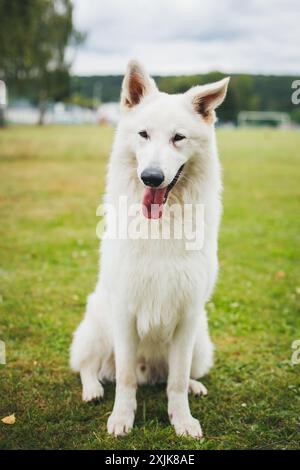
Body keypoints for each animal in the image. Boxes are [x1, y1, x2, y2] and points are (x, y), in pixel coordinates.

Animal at [70, 60, 230, 438]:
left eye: (178, 138)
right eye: (143, 134)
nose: (152, 178)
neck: (162, 224)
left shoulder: (188, 316)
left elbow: (176, 380)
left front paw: (182, 420)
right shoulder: (125, 312)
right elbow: (126, 377)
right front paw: (122, 418)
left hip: (201, 342)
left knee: (176, 375)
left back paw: (193, 386)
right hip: (99, 324)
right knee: (89, 366)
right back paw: (93, 389)